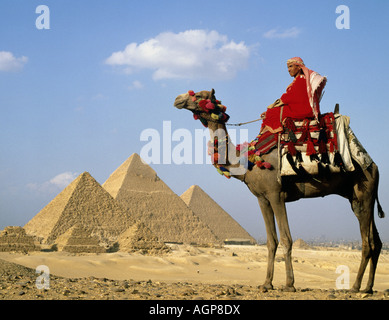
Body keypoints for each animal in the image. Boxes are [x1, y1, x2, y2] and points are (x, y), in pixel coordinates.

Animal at [174, 89, 384, 294]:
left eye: (198, 95)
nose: (177, 99)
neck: (248, 161)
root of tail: (374, 166)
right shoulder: (262, 198)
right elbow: (271, 241)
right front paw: (267, 283)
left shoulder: (276, 195)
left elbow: (286, 238)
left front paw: (289, 284)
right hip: (357, 199)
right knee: (376, 241)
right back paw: (368, 287)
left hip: (364, 192)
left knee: (367, 243)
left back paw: (355, 287)